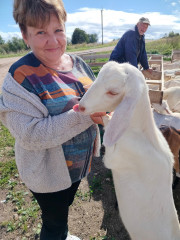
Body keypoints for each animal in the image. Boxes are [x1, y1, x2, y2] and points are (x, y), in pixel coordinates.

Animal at [75, 61, 180, 240]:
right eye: (98, 76)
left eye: (113, 92)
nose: (80, 106)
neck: (142, 134)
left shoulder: (118, 156)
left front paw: (105, 118)